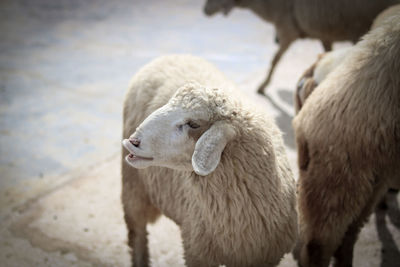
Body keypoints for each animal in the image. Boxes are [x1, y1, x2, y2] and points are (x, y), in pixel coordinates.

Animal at [120, 55, 298, 267]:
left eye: (193, 124)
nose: (133, 142)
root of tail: (169, 56)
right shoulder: (197, 252)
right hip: (134, 188)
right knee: (137, 234)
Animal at [205, 0, 398, 95]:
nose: (204, 10)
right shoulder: (323, 34)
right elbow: (326, 53)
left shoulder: (287, 30)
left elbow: (275, 59)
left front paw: (262, 86)